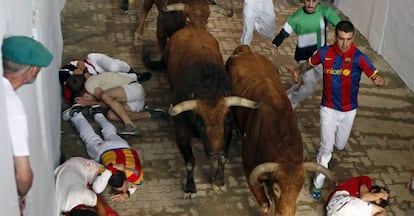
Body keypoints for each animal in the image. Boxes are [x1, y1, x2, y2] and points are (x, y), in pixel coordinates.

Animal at [165, 25, 258, 197]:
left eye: (226, 121)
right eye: (200, 124)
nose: (215, 154)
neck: (208, 89)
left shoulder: (226, 134)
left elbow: (224, 158)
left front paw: (219, 181)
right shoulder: (181, 133)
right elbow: (190, 162)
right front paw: (190, 186)